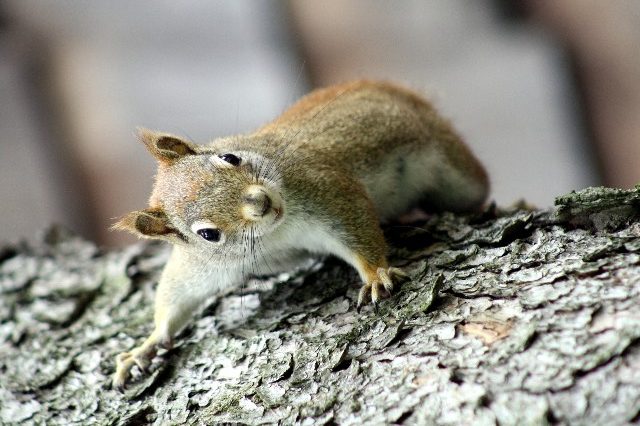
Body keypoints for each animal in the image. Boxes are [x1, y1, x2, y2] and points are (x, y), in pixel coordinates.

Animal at [111, 79, 490, 390]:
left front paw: (375, 274)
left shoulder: (323, 187)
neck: (273, 235)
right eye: (208, 234)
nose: (261, 202)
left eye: (230, 158)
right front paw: (144, 348)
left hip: (451, 167)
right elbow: (176, 295)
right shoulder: (202, 264)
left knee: (476, 188)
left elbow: (356, 228)